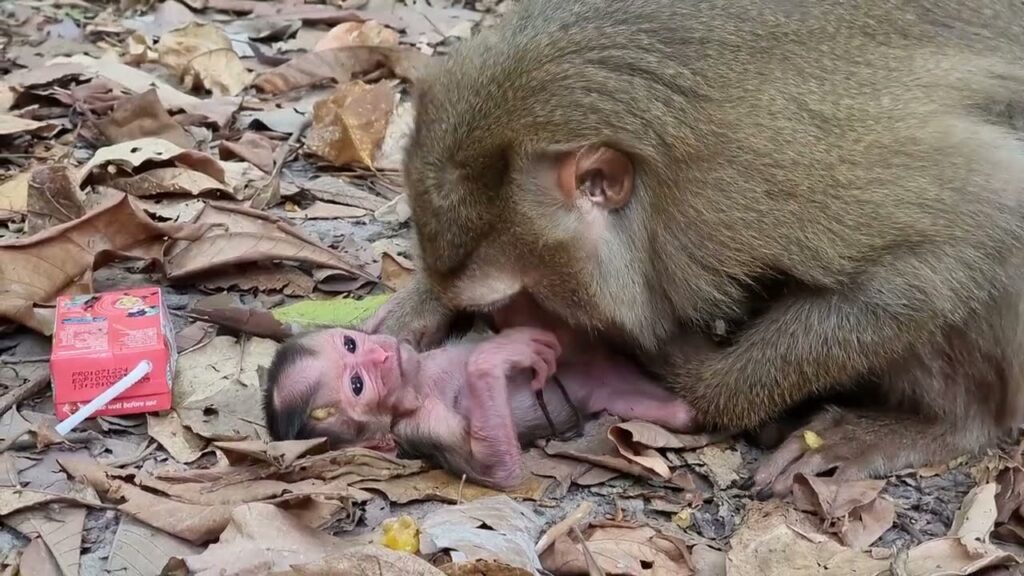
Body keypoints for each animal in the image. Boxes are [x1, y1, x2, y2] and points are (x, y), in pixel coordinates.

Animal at [262, 324, 696, 489]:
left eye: (351, 344)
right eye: (357, 385)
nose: (382, 356)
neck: (418, 381)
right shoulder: (420, 426)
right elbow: (500, 472)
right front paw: (497, 354)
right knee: (680, 413)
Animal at [363, 0, 1024, 497]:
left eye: (523, 298)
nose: (511, 332)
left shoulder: (740, 189)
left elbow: (972, 233)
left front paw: (692, 375)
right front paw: (415, 309)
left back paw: (953, 425)